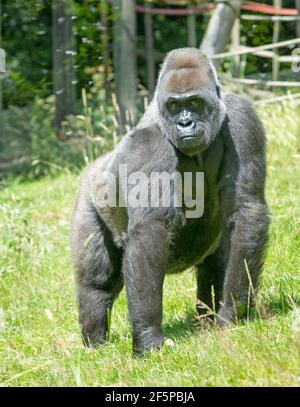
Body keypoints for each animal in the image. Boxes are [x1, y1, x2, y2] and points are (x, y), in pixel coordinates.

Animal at [71, 47, 270, 354]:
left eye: (194, 102)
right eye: (175, 106)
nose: (184, 122)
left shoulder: (242, 116)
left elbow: (245, 208)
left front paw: (232, 312)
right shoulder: (148, 144)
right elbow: (150, 231)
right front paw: (148, 336)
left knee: (216, 259)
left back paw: (206, 318)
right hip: (89, 197)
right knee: (98, 281)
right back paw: (96, 344)